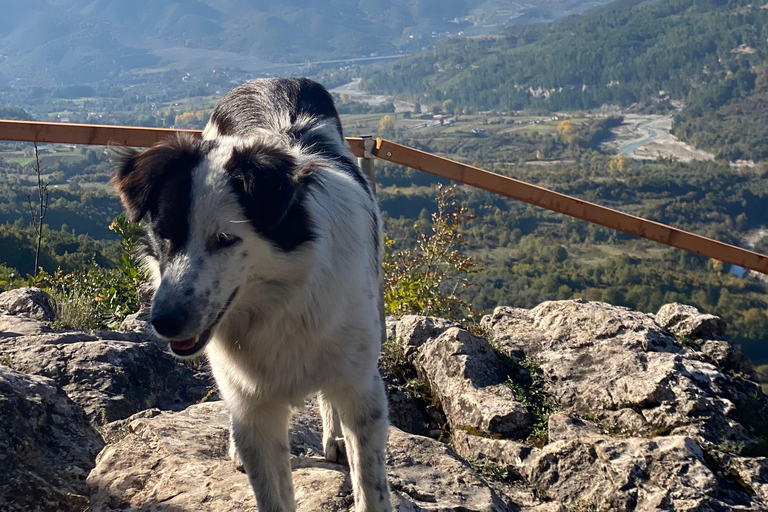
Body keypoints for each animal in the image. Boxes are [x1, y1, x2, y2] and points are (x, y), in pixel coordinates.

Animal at [117, 78, 392, 510]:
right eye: (165, 233)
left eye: (226, 239)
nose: (164, 322)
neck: (282, 304)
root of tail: (275, 80)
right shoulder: (255, 409)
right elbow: (271, 491)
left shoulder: (361, 389)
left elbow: (371, 485)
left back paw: (333, 437)